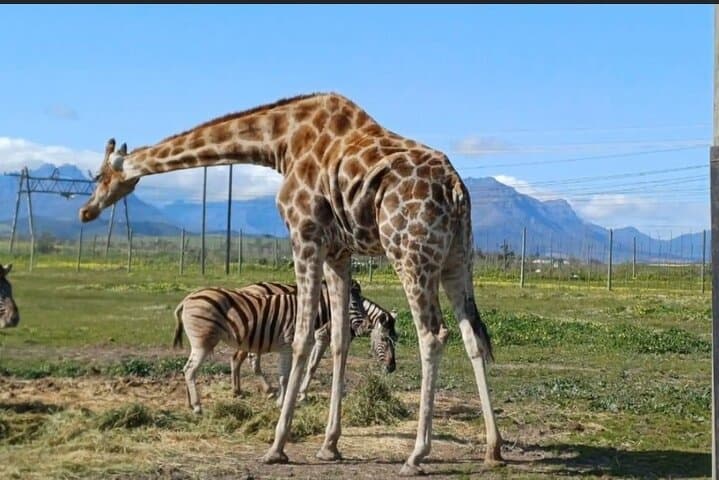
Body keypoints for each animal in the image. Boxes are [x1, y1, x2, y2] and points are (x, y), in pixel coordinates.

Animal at [79, 93, 503, 475]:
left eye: (98, 176)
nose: (86, 211)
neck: (280, 142)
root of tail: (456, 188)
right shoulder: (338, 252)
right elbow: (338, 340)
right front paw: (329, 445)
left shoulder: (305, 235)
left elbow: (300, 339)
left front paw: (277, 446)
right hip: (457, 258)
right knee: (472, 336)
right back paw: (493, 448)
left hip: (410, 253)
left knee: (433, 335)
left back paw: (416, 456)